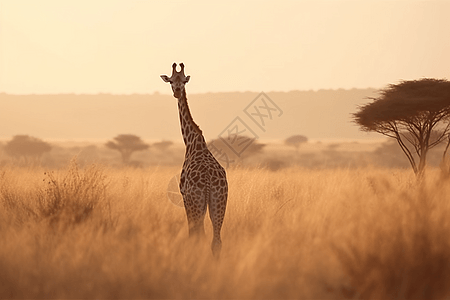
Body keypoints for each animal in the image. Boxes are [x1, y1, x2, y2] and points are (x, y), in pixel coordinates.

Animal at [161, 62, 229, 258]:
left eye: (183, 81)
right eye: (171, 81)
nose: (177, 92)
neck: (191, 142)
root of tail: (208, 180)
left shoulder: (184, 196)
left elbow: (193, 233)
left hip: (197, 201)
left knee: (200, 236)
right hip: (219, 200)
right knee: (216, 241)